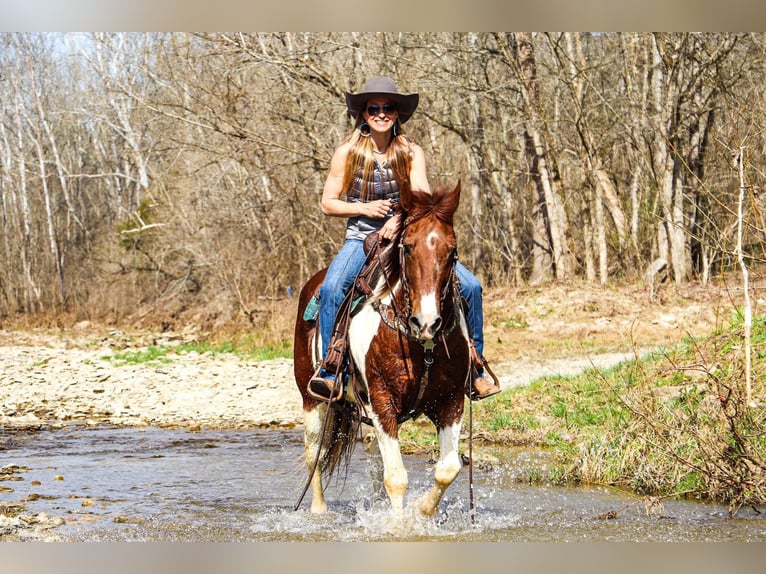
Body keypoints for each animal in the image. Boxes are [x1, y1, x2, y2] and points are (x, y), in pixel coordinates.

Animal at [296, 181, 472, 516]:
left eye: (453, 251)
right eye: (408, 247)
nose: (427, 322)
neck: (422, 346)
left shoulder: (450, 401)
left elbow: (447, 469)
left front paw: (420, 512)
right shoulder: (382, 401)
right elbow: (396, 478)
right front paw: (399, 522)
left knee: (373, 457)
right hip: (312, 400)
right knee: (315, 454)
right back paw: (319, 510)